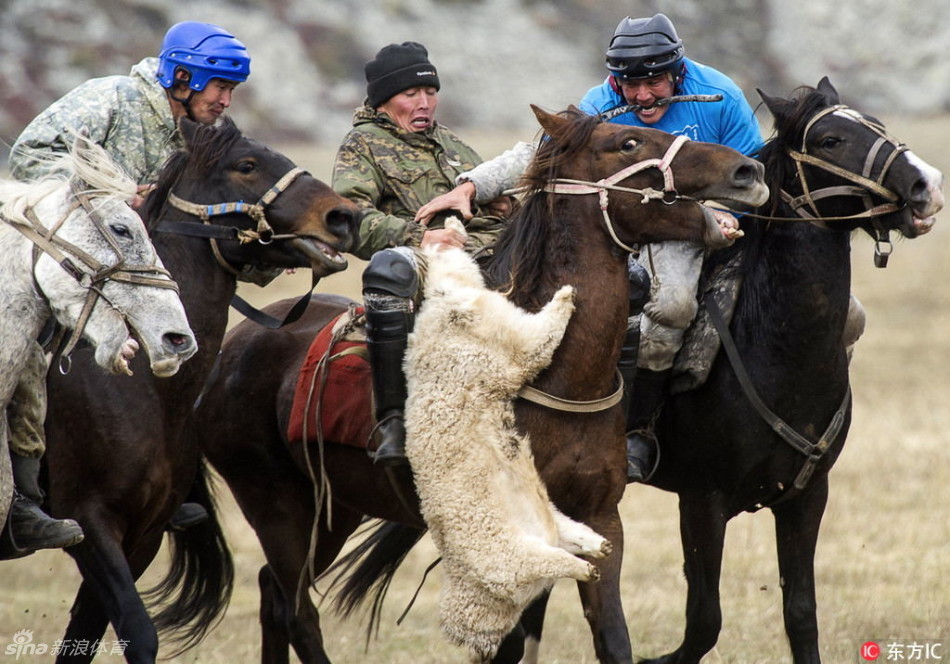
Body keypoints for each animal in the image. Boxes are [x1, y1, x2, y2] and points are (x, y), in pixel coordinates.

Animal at [41, 116, 362, 660]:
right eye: (246, 165)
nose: (344, 216)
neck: (144, 385)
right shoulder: (88, 519)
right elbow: (136, 628)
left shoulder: (143, 533)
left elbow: (87, 628)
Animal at [197, 106, 768, 660]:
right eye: (627, 142)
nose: (747, 171)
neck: (559, 380)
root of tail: (233, 348)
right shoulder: (518, 539)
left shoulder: (601, 521)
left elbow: (612, 638)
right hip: (276, 506)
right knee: (296, 609)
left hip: (334, 508)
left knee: (272, 592)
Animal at [328, 79, 944, 664]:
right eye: (831, 140)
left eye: (875, 124)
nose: (926, 186)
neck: (775, 352)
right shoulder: (702, 500)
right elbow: (704, 620)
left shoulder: (806, 497)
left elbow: (800, 615)